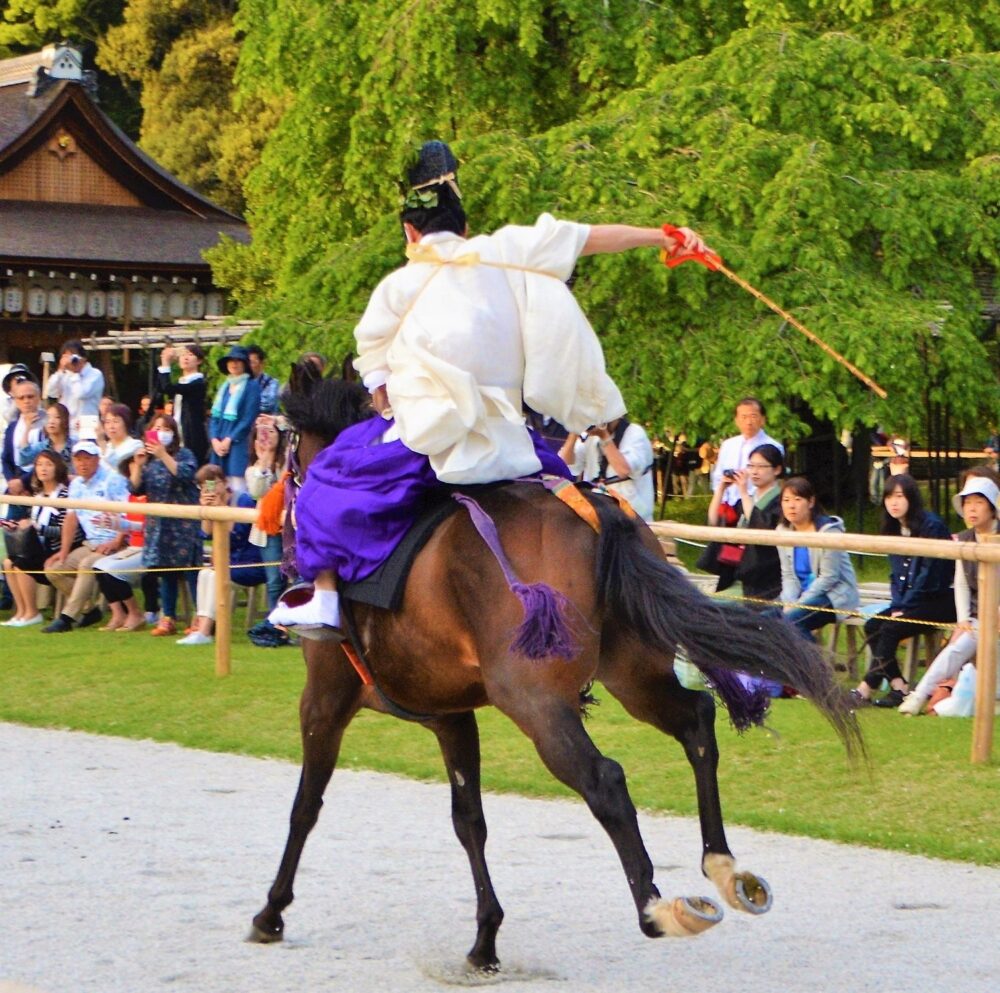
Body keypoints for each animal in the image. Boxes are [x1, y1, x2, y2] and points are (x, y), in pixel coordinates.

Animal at [249, 368, 862, 971]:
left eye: (286, 446)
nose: (273, 499)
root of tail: (595, 510)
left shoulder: (325, 697)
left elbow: (305, 806)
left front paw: (271, 911)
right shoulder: (451, 716)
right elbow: (468, 820)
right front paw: (485, 938)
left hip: (534, 699)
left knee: (605, 779)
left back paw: (657, 907)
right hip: (632, 674)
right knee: (695, 721)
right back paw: (723, 865)